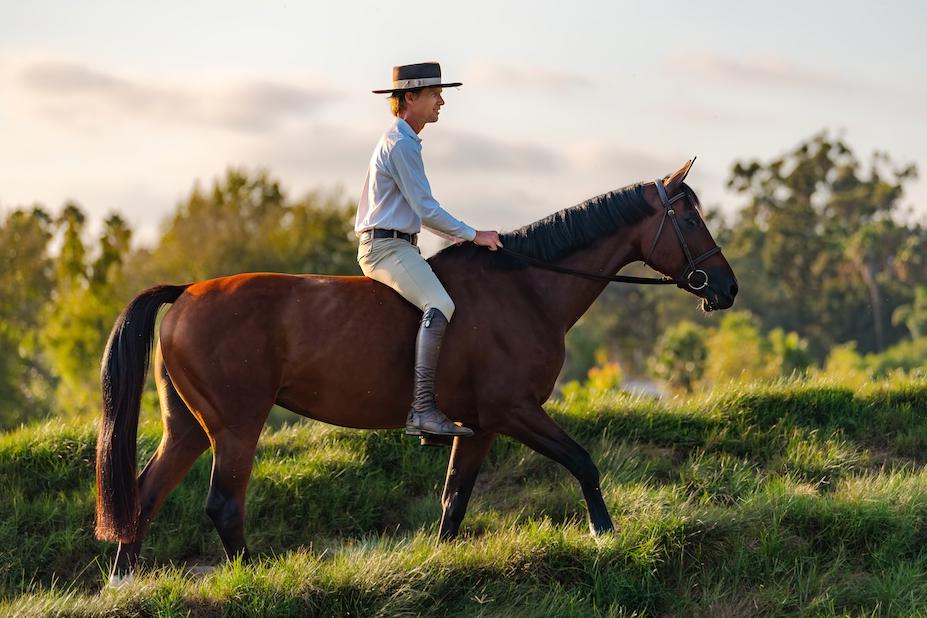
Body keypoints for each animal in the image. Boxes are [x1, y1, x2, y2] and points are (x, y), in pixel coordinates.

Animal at [98, 160, 736, 584]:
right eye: (688, 219)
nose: (726, 288)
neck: (527, 287)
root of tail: (186, 292)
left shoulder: (479, 425)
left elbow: (454, 501)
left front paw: (442, 562)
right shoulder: (514, 409)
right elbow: (582, 461)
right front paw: (604, 535)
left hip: (188, 426)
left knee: (145, 495)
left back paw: (126, 581)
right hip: (236, 425)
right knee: (224, 504)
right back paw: (250, 577)